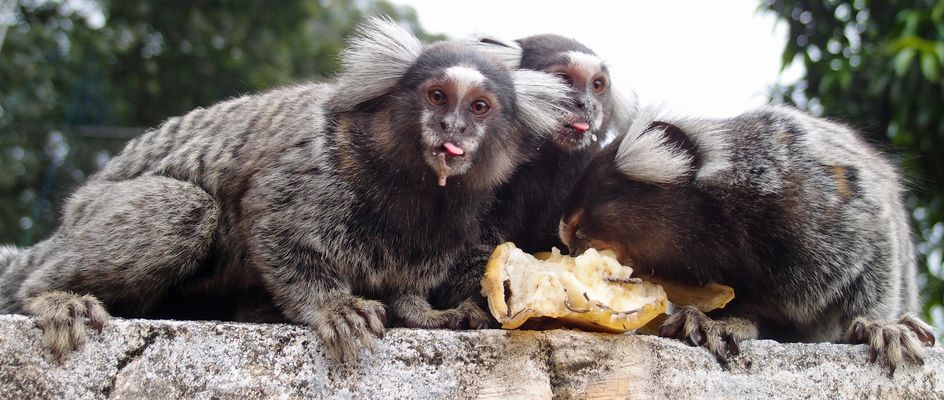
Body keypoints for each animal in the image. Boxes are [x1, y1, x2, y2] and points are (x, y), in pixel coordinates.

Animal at [0, 18, 573, 362]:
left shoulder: (452, 220)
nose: (453, 129)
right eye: (437, 96)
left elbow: (411, 277)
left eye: (479, 107)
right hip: (95, 214)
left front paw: (423, 313)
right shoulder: (313, 169)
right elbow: (274, 227)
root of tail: (68, 219)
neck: (411, 183)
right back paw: (51, 295)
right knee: (185, 206)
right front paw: (333, 307)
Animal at [558, 106, 936, 373]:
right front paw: (719, 323)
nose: (573, 250)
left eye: (579, 228)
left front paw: (879, 325)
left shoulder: (830, 193)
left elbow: (877, 249)